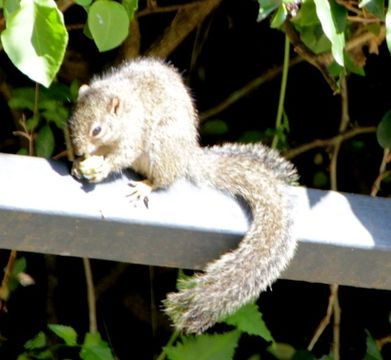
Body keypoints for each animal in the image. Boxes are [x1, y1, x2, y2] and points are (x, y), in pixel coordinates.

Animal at [69, 57, 298, 334]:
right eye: (71, 122)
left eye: (97, 129)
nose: (79, 152)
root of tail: (187, 156)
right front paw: (76, 164)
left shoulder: (134, 133)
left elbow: (123, 155)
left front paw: (101, 167)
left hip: (161, 147)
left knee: (164, 178)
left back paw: (145, 186)